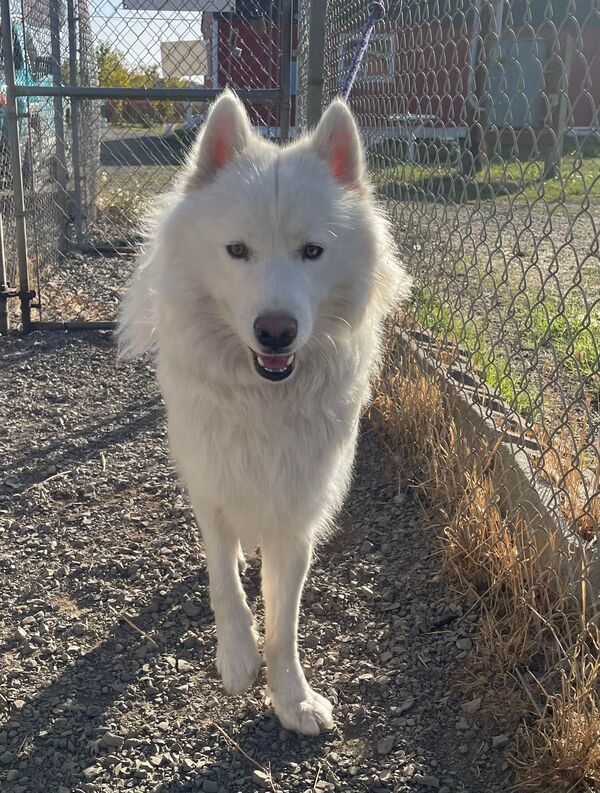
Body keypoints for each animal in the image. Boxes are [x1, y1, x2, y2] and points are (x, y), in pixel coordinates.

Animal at [117, 91, 410, 732]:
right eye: (237, 251)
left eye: (312, 252)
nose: (276, 331)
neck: (264, 399)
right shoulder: (211, 490)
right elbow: (224, 582)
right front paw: (236, 658)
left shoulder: (296, 515)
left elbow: (285, 622)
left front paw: (291, 697)